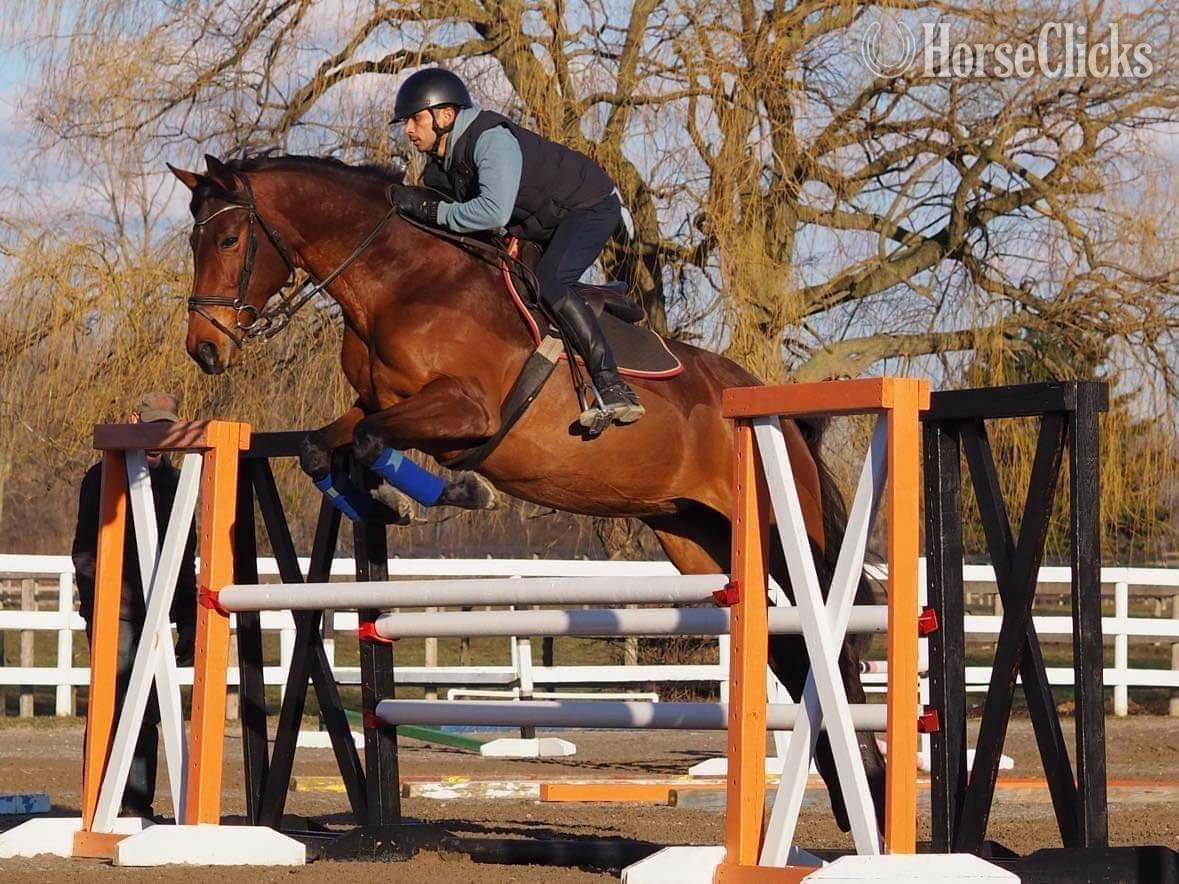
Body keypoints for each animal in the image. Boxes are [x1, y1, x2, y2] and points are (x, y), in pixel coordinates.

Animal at [169, 153, 886, 831]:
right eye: (193, 241)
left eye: (229, 238)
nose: (204, 350)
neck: (398, 285)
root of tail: (774, 409)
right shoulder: (376, 405)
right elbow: (327, 446)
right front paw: (377, 501)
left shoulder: (465, 411)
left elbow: (375, 442)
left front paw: (459, 492)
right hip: (698, 537)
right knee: (794, 650)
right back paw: (844, 788)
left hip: (775, 528)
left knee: (833, 638)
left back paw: (869, 788)